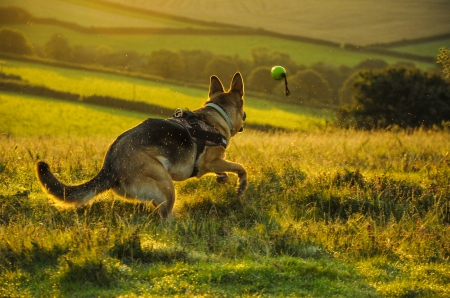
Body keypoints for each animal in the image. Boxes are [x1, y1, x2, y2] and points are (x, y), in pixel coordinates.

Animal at [37, 71, 248, 218]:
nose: (245, 116)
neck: (218, 114)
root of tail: (110, 166)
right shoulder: (211, 162)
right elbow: (240, 167)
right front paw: (241, 186)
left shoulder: (214, 163)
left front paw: (224, 178)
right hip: (165, 184)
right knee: (165, 218)